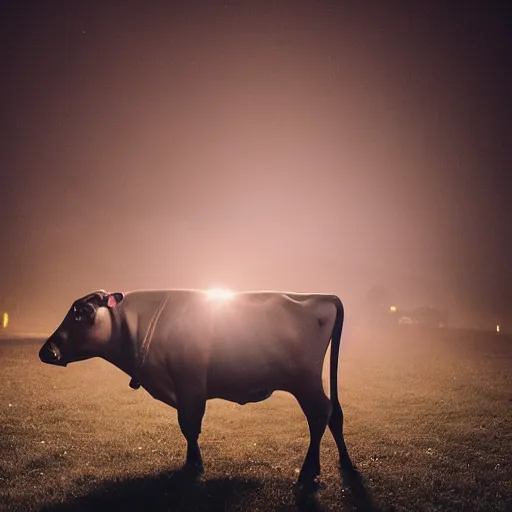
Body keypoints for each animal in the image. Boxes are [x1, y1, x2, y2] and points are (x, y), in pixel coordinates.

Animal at [39, 288, 352, 484]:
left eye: (81, 311)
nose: (47, 351)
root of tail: (322, 296)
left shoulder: (190, 386)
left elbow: (190, 426)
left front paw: (194, 465)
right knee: (334, 414)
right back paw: (345, 462)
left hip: (304, 381)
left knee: (320, 414)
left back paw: (309, 470)